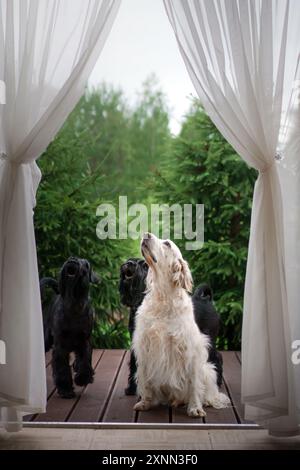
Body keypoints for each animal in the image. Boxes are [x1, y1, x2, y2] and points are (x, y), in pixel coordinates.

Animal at [39, 258, 98, 396]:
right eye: (69, 258)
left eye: (85, 264)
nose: (73, 260)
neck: (74, 304)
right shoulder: (60, 345)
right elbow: (62, 368)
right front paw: (65, 389)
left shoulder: (84, 341)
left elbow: (85, 361)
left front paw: (82, 378)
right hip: (46, 339)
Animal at [119, 258, 223, 394]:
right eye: (129, 260)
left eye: (145, 266)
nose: (129, 264)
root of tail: (205, 299)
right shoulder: (137, 342)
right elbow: (134, 364)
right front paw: (132, 388)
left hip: (209, 339)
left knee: (217, 357)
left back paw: (217, 381)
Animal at [132, 233, 230, 416]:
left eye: (167, 244)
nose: (146, 235)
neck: (163, 298)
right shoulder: (145, 347)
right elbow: (145, 381)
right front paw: (145, 402)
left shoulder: (189, 351)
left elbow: (194, 384)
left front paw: (195, 408)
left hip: (208, 370)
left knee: (210, 391)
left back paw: (206, 401)